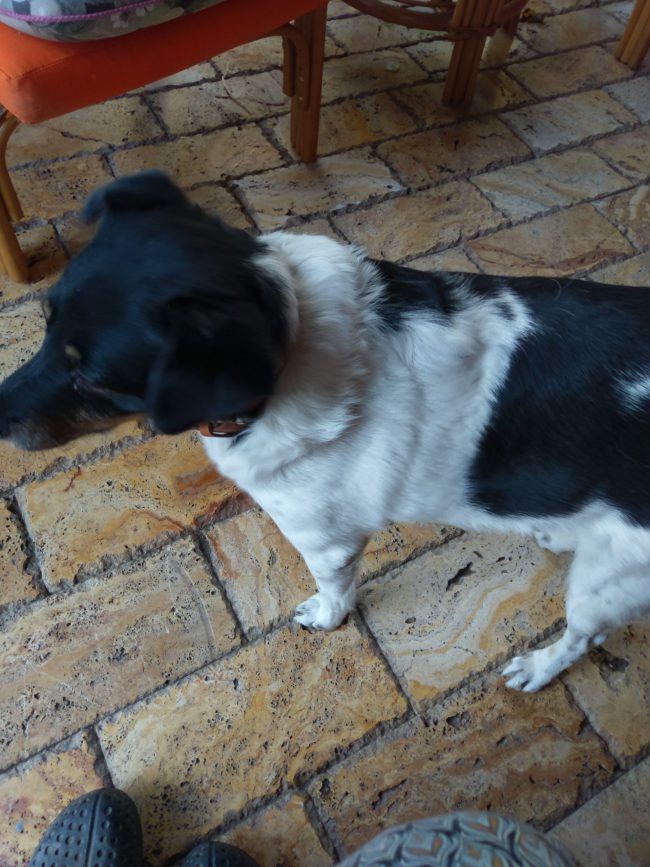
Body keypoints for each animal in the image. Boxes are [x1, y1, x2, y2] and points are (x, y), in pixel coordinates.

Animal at [0, 171, 648, 692]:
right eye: (46, 322)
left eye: (94, 378)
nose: (0, 419)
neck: (292, 338)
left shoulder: (325, 540)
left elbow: (335, 592)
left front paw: (326, 618)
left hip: (609, 579)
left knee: (583, 637)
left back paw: (539, 667)